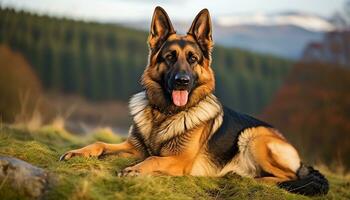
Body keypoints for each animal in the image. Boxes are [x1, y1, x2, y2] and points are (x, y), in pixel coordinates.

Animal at [59, 7, 328, 196]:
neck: (165, 114)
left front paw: (135, 169)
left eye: (193, 59)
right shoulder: (134, 148)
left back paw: (250, 178)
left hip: (253, 137)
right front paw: (78, 152)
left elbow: (153, 158)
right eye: (169, 57)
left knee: (292, 177)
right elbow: (100, 143)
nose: (182, 81)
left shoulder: (179, 162)